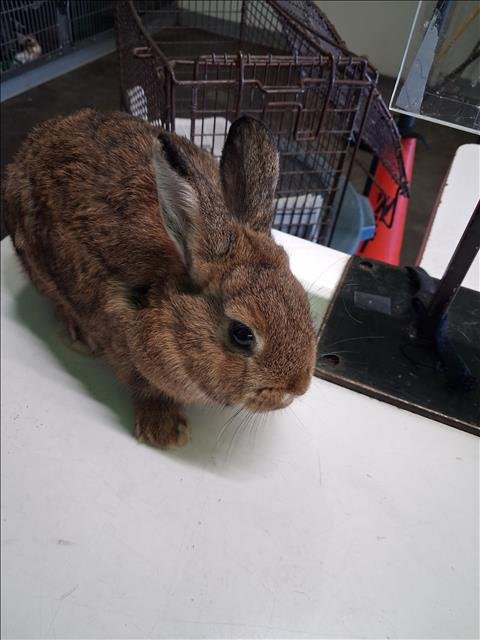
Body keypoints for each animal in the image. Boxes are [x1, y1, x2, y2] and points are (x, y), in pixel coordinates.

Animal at [3, 109, 316, 449]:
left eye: (303, 300)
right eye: (242, 334)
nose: (296, 387)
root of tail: (30, 145)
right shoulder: (126, 352)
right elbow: (145, 389)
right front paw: (166, 432)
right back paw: (79, 337)